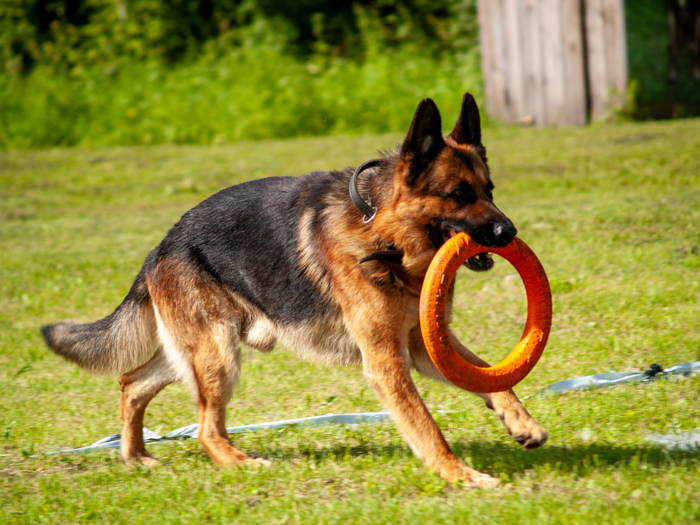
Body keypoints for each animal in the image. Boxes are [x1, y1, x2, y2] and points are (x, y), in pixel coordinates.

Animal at [41, 93, 547, 487]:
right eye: (459, 194)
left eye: (490, 189)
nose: (509, 232)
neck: (384, 237)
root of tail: (160, 247)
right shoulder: (386, 362)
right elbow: (425, 424)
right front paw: (459, 473)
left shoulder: (424, 346)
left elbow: (489, 375)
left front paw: (522, 423)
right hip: (218, 354)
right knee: (205, 428)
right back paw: (240, 463)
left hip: (195, 352)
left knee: (132, 382)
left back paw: (136, 456)